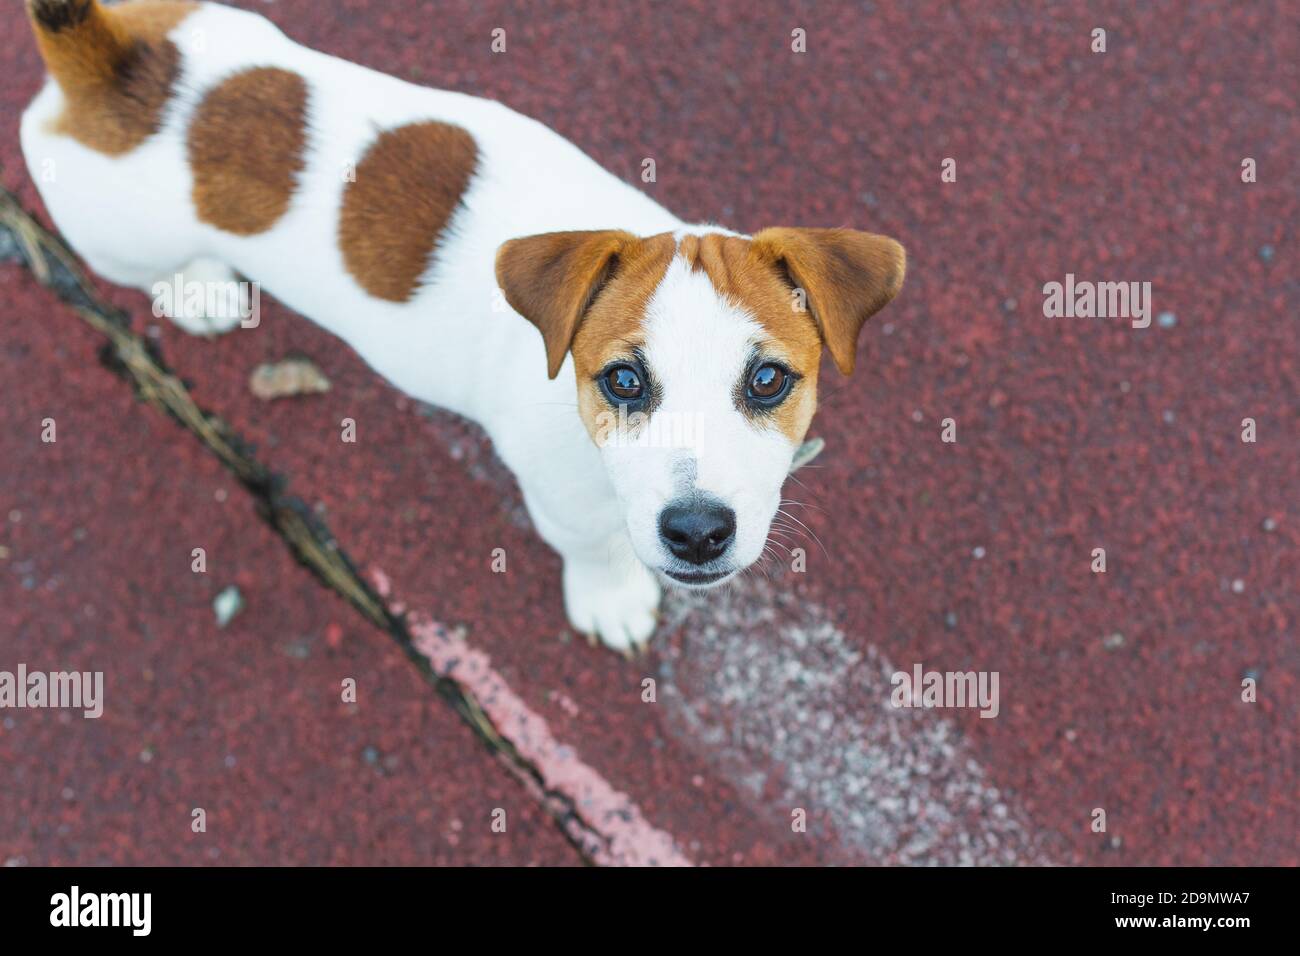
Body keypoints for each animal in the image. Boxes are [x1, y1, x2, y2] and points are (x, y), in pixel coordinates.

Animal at [27, 0, 904, 650]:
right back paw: (199, 288)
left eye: (769, 380)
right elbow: (593, 549)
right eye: (623, 380)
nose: (697, 533)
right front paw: (613, 599)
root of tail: (112, 66)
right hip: (119, 244)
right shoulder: (561, 497)